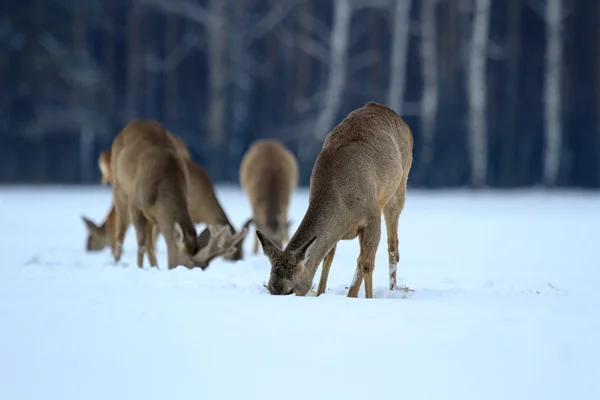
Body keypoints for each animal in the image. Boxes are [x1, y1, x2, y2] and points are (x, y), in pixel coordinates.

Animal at [255, 101, 414, 298]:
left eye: (290, 290)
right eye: (270, 288)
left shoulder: (371, 214)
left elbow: (367, 264)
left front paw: (369, 298)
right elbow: (328, 259)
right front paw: (320, 294)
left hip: (399, 187)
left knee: (392, 246)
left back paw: (391, 289)